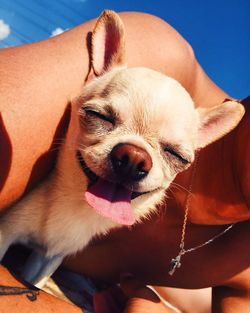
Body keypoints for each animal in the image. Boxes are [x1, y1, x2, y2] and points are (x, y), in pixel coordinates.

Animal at [0, 10, 244, 288]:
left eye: (176, 155)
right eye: (98, 116)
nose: (134, 158)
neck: (77, 206)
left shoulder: (48, 259)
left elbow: (36, 282)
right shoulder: (6, 231)